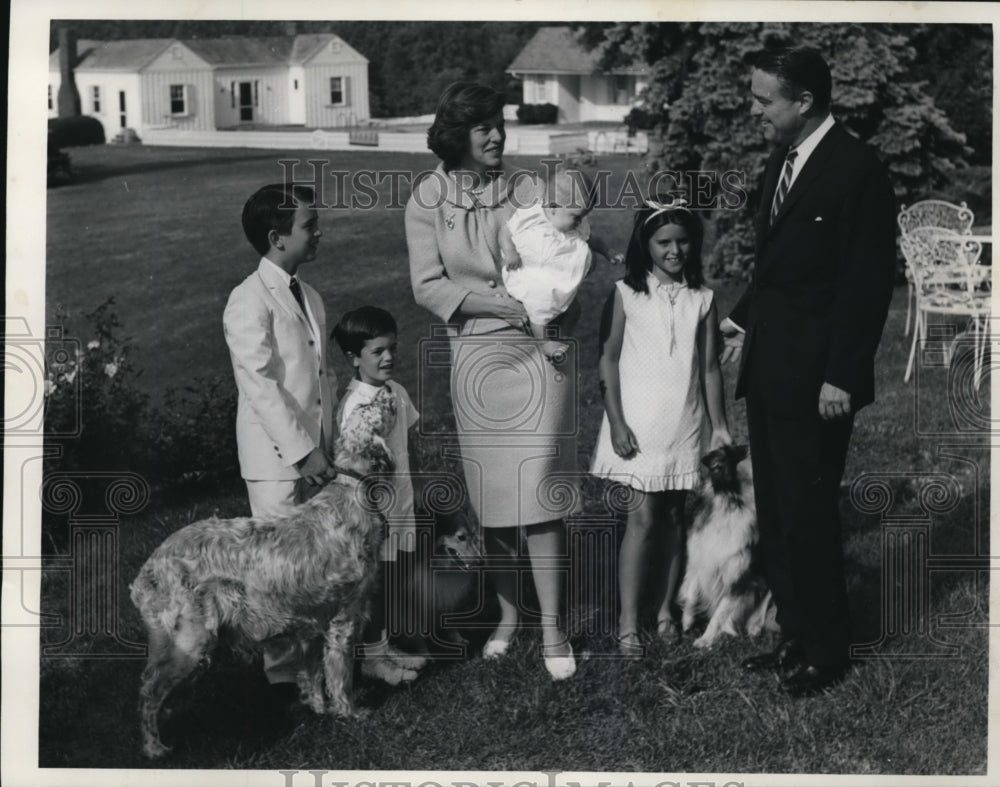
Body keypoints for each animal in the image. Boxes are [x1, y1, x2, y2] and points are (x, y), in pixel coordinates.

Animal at [131, 384, 396, 760]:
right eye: (371, 406)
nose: (386, 388)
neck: (349, 493)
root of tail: (149, 568)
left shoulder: (310, 623)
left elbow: (312, 673)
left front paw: (318, 707)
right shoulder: (344, 617)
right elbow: (340, 675)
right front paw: (351, 712)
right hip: (190, 641)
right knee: (149, 691)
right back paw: (154, 747)